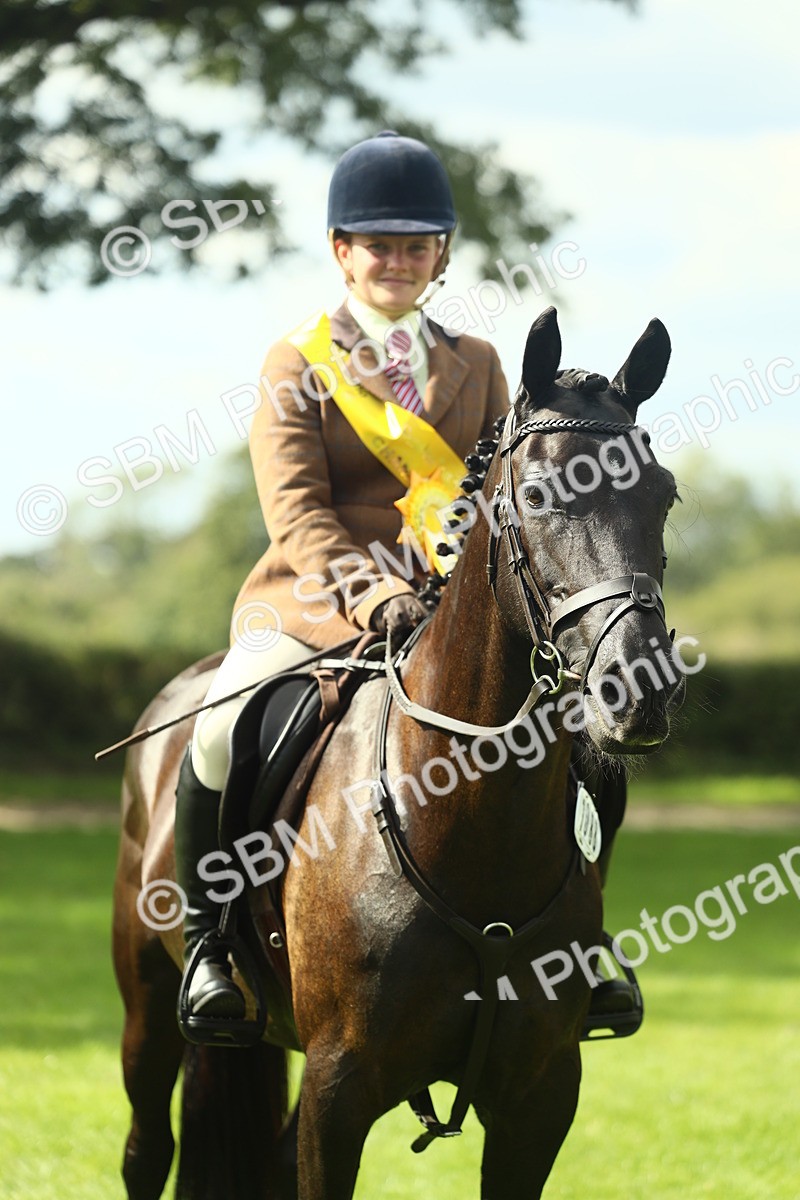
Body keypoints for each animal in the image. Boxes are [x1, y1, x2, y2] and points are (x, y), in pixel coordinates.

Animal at [112, 305, 681, 1199]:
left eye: (664, 495)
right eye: (541, 495)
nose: (641, 687)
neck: (471, 819)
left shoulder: (540, 1098)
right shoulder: (339, 1086)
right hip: (146, 1007)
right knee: (146, 1148)